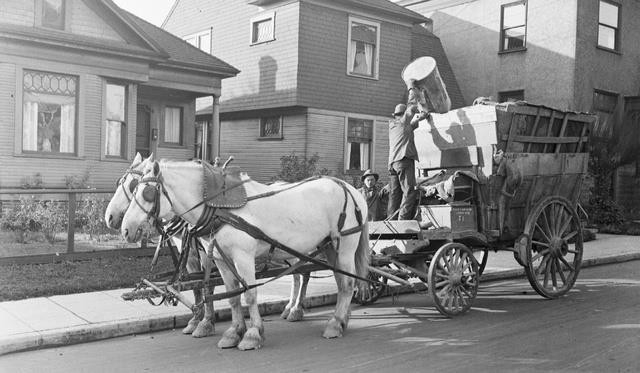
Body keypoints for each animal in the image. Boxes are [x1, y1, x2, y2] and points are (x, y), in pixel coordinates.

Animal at [105, 153, 215, 338]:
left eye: (133, 185)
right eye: (121, 182)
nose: (109, 217)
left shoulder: (208, 250)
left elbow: (209, 284)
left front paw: (206, 322)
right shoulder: (188, 249)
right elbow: (197, 285)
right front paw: (195, 320)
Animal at [120, 159, 370, 348]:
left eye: (146, 192)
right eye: (134, 189)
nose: (124, 229)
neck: (220, 207)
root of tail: (351, 189)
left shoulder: (243, 257)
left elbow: (249, 294)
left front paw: (253, 334)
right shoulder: (221, 259)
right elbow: (232, 296)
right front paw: (233, 332)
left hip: (345, 245)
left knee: (347, 284)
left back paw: (334, 323)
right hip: (329, 247)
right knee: (339, 281)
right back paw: (340, 319)